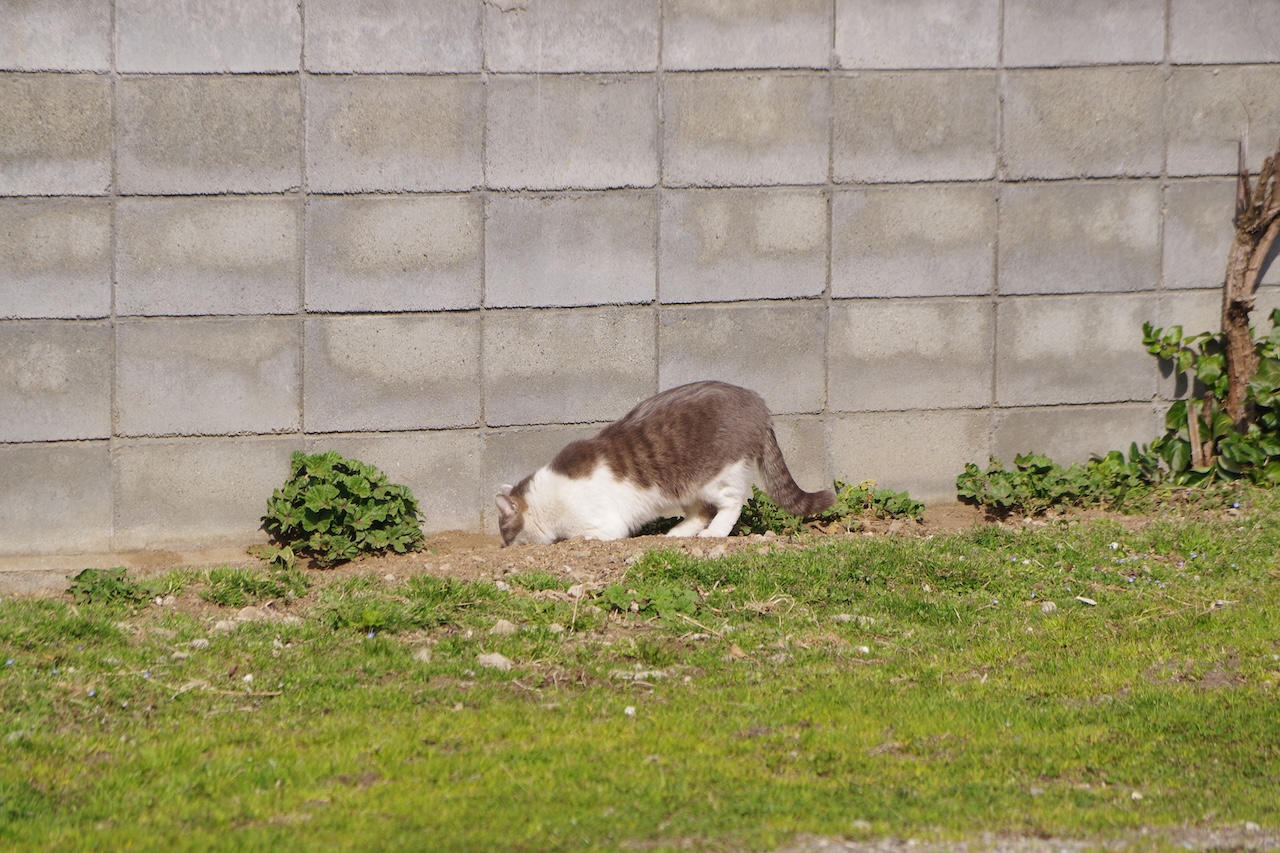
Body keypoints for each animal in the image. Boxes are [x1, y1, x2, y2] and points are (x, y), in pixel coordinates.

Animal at [495, 380, 835, 546]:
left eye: (505, 533)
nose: (505, 547)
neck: (550, 503)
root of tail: (759, 404)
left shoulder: (604, 524)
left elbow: (580, 537)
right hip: (683, 487)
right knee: (700, 512)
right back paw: (677, 533)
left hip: (715, 476)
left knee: (731, 502)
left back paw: (714, 533)